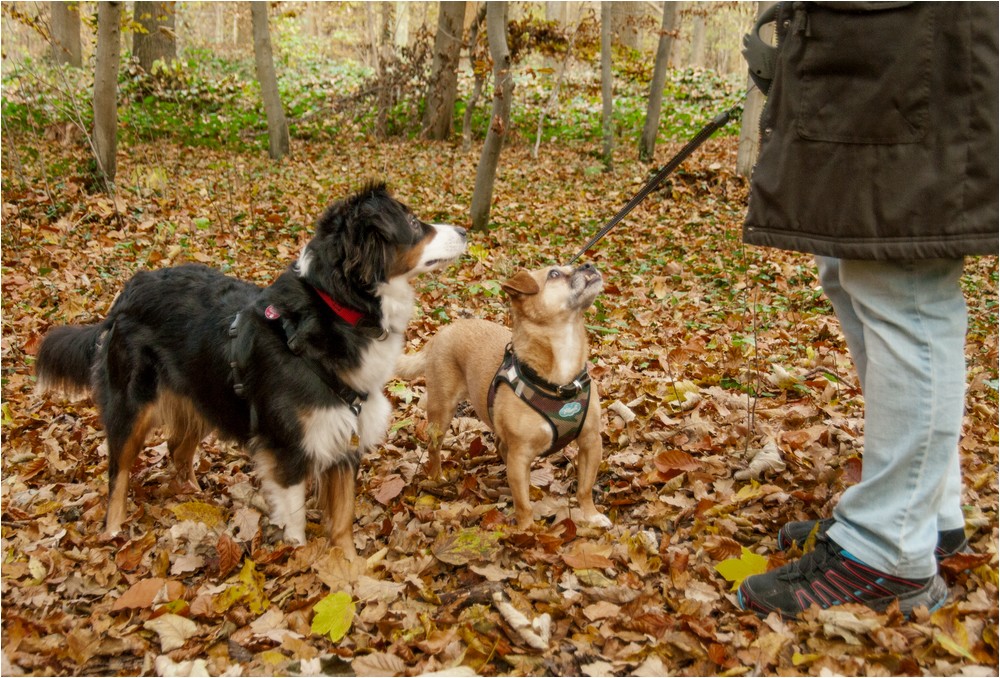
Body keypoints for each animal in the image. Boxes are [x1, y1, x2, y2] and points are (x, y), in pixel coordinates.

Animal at [34, 182, 464, 556]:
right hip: (132, 407)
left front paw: (348, 570)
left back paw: (193, 496)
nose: (463, 230)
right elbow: (296, 519)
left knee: (177, 448)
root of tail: (127, 292)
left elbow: (342, 522)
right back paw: (114, 530)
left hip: (203, 393)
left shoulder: (344, 439)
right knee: (118, 472)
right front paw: (301, 561)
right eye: (413, 223)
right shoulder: (288, 447)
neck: (334, 311)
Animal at [396, 266, 612, 532]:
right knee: (434, 447)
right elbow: (524, 505)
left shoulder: (591, 443)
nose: (588, 266)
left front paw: (591, 515)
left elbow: (584, 488)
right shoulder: (520, 456)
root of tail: (441, 333)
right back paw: (437, 477)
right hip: (442, 412)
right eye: (554, 273)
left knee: (500, 446)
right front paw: (527, 532)